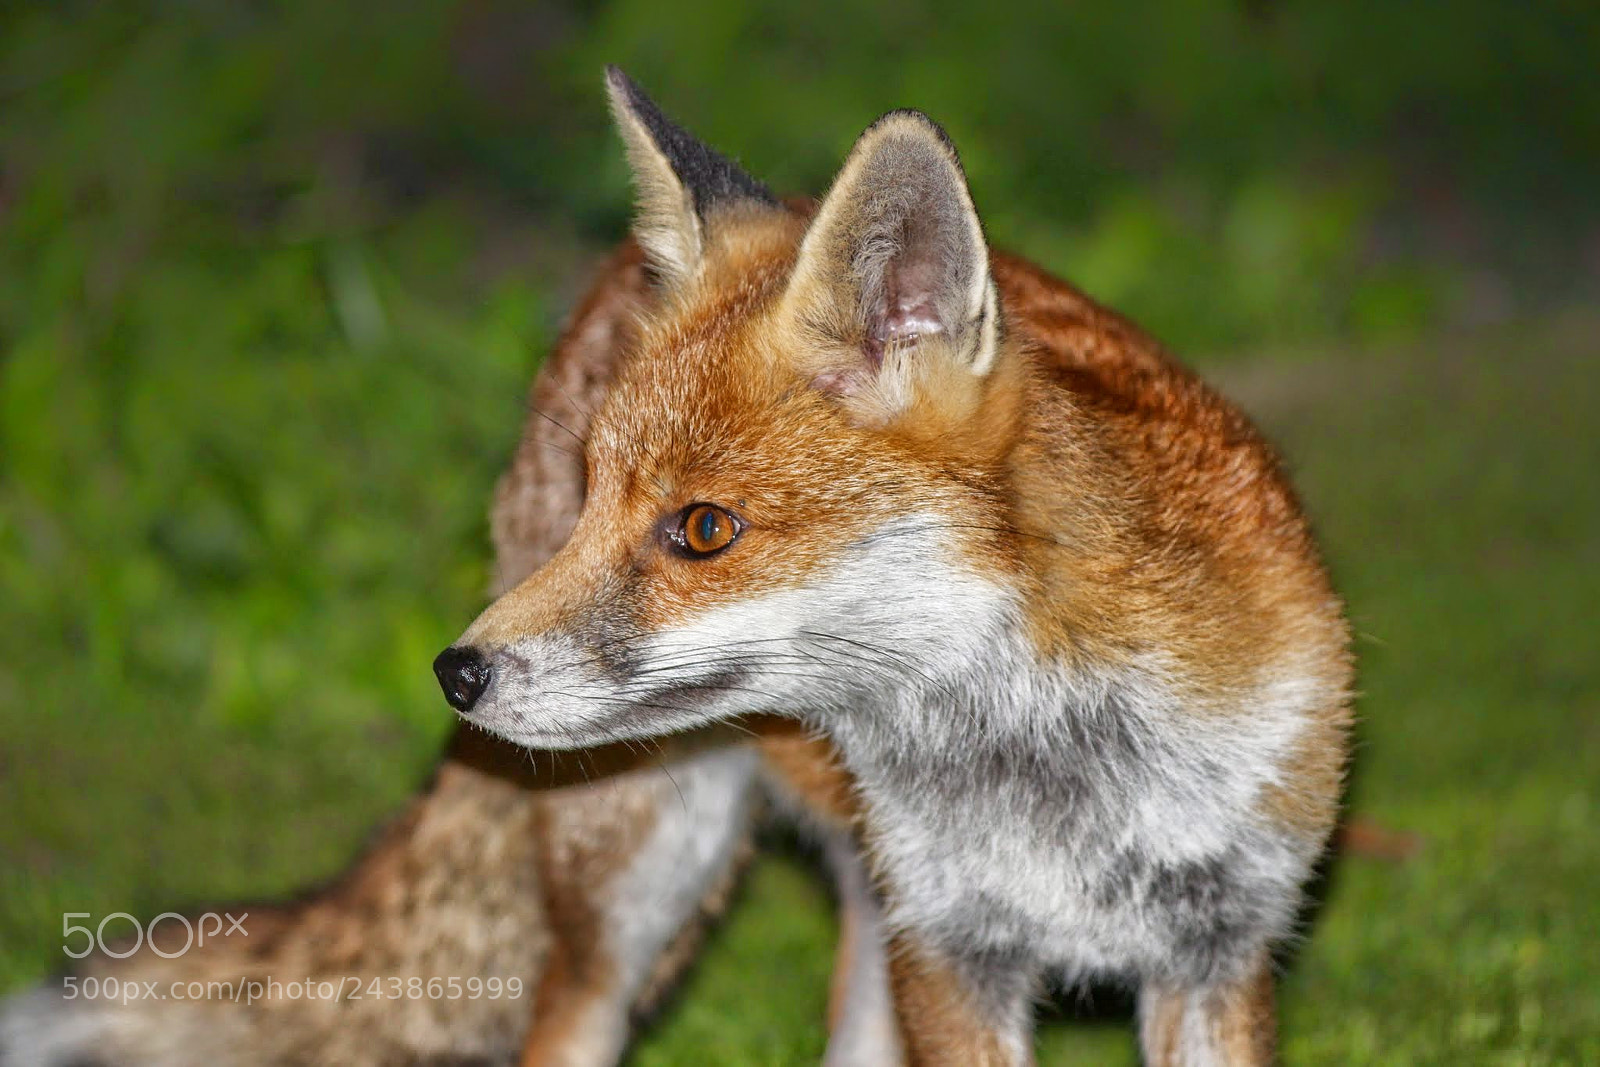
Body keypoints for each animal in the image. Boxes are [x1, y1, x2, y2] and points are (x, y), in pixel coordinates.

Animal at [433, 68, 1354, 1066]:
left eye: (706, 529)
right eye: (590, 496)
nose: (456, 672)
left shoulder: (1221, 950)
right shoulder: (949, 956)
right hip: (639, 876)